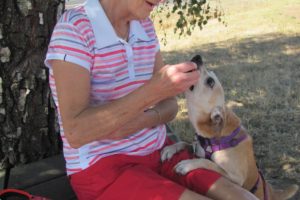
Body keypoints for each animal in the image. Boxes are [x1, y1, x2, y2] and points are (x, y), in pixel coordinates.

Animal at [162, 55, 298, 200]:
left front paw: (187, 164)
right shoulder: (197, 149)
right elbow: (184, 143)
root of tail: (272, 192)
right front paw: (171, 149)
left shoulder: (236, 178)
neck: (215, 137)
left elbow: (208, 163)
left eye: (210, 81)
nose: (198, 57)